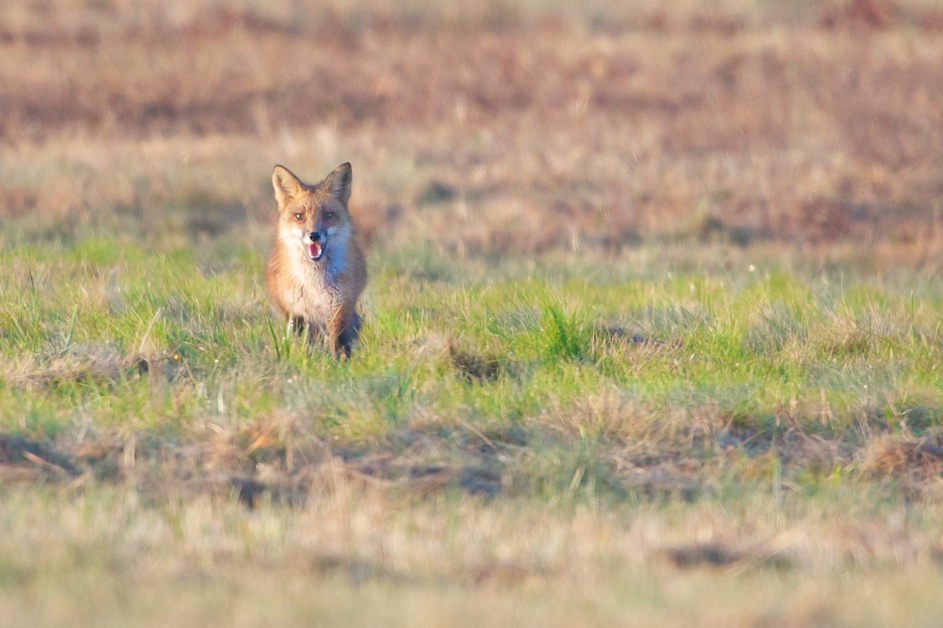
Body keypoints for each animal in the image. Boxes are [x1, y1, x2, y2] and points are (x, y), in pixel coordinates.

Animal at [265, 162, 366, 357]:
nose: (314, 235)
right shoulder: (296, 311)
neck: (314, 284)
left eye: (328, 215)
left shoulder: (339, 307)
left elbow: (339, 343)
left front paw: (340, 362)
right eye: (299, 216)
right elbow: (302, 344)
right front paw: (303, 358)